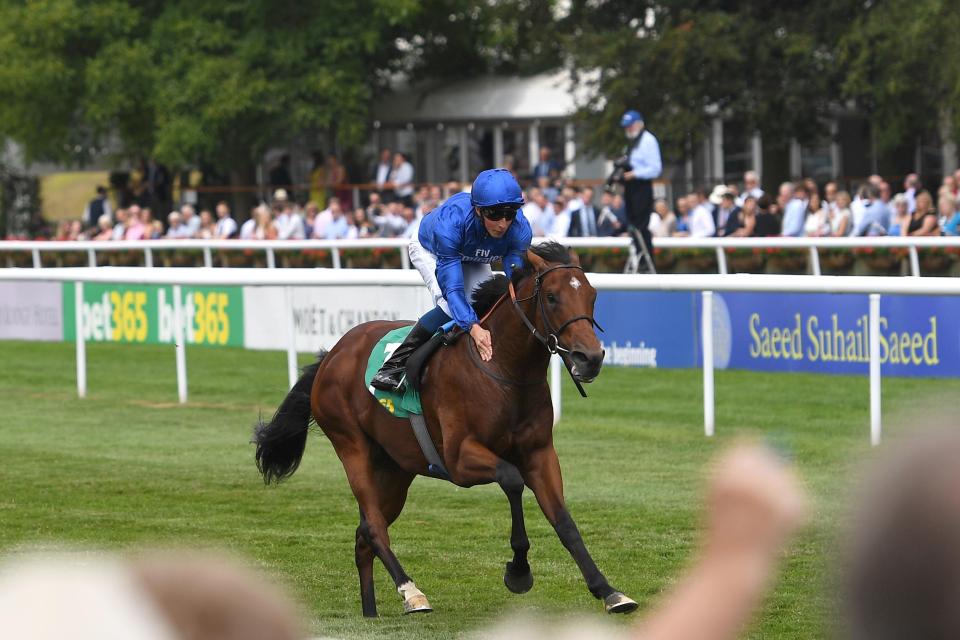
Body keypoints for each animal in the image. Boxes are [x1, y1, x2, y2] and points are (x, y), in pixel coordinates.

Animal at [253, 240, 636, 616]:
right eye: (553, 297)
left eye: (592, 295)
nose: (591, 358)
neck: (503, 369)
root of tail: (333, 353)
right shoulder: (459, 458)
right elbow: (512, 480)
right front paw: (518, 571)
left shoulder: (540, 453)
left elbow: (564, 521)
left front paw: (608, 591)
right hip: (351, 445)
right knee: (374, 527)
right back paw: (412, 593)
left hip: (395, 468)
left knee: (364, 535)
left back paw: (371, 613)